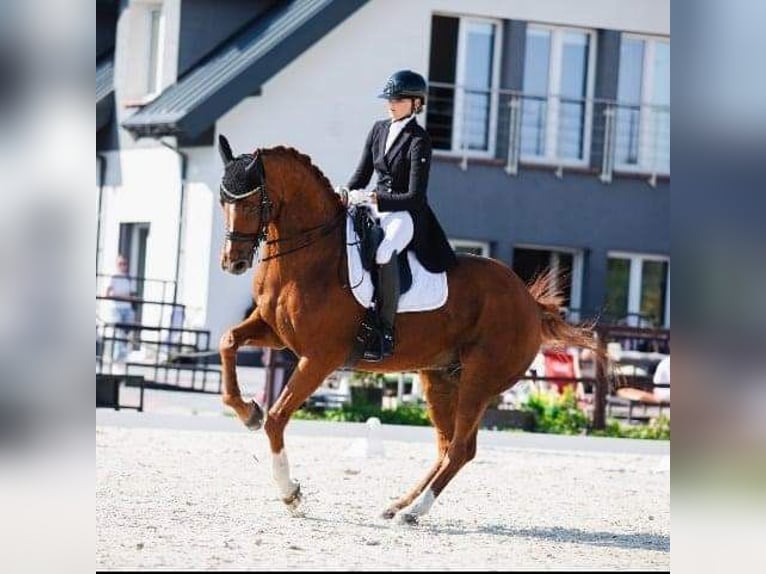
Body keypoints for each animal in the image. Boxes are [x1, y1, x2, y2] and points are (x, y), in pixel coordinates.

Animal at [214, 136, 608, 528]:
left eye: (249, 201)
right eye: (222, 201)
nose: (233, 263)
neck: (311, 257)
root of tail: (529, 302)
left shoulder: (320, 357)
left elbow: (277, 418)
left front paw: (290, 494)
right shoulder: (275, 333)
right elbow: (228, 342)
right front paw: (247, 411)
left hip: (478, 381)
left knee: (461, 448)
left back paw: (413, 511)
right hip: (440, 377)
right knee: (447, 446)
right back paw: (398, 506)